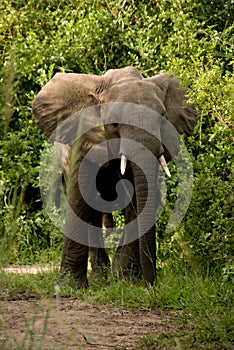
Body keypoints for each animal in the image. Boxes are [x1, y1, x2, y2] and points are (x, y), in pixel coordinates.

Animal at [32, 66, 197, 288]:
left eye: (163, 117)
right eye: (115, 124)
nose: (150, 285)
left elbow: (138, 200)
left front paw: (127, 279)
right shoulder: (84, 140)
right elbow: (79, 197)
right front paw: (69, 287)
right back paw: (99, 278)